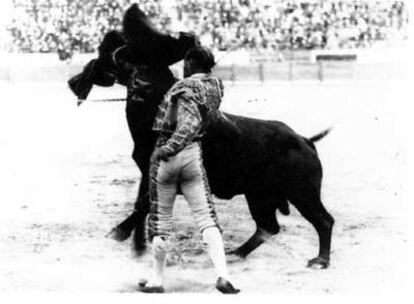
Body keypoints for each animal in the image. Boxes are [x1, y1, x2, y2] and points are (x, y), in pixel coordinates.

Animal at [68, 42, 334, 268]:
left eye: (157, 76)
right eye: (132, 72)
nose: (140, 87)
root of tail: (304, 140)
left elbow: (144, 204)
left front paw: (119, 233)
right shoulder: (147, 171)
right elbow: (141, 204)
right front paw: (138, 245)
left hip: (302, 192)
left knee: (323, 221)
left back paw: (320, 260)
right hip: (259, 195)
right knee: (268, 226)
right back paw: (237, 253)